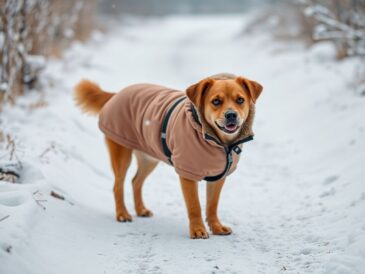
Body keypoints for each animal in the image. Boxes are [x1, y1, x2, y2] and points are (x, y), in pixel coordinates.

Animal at [74, 74, 262, 239]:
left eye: (240, 100)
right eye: (216, 101)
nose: (231, 115)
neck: (220, 144)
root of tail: (117, 94)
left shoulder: (219, 176)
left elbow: (212, 205)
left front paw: (216, 227)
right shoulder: (187, 174)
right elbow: (195, 206)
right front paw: (198, 230)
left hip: (149, 157)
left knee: (136, 181)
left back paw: (141, 209)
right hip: (122, 152)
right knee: (117, 186)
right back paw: (122, 213)